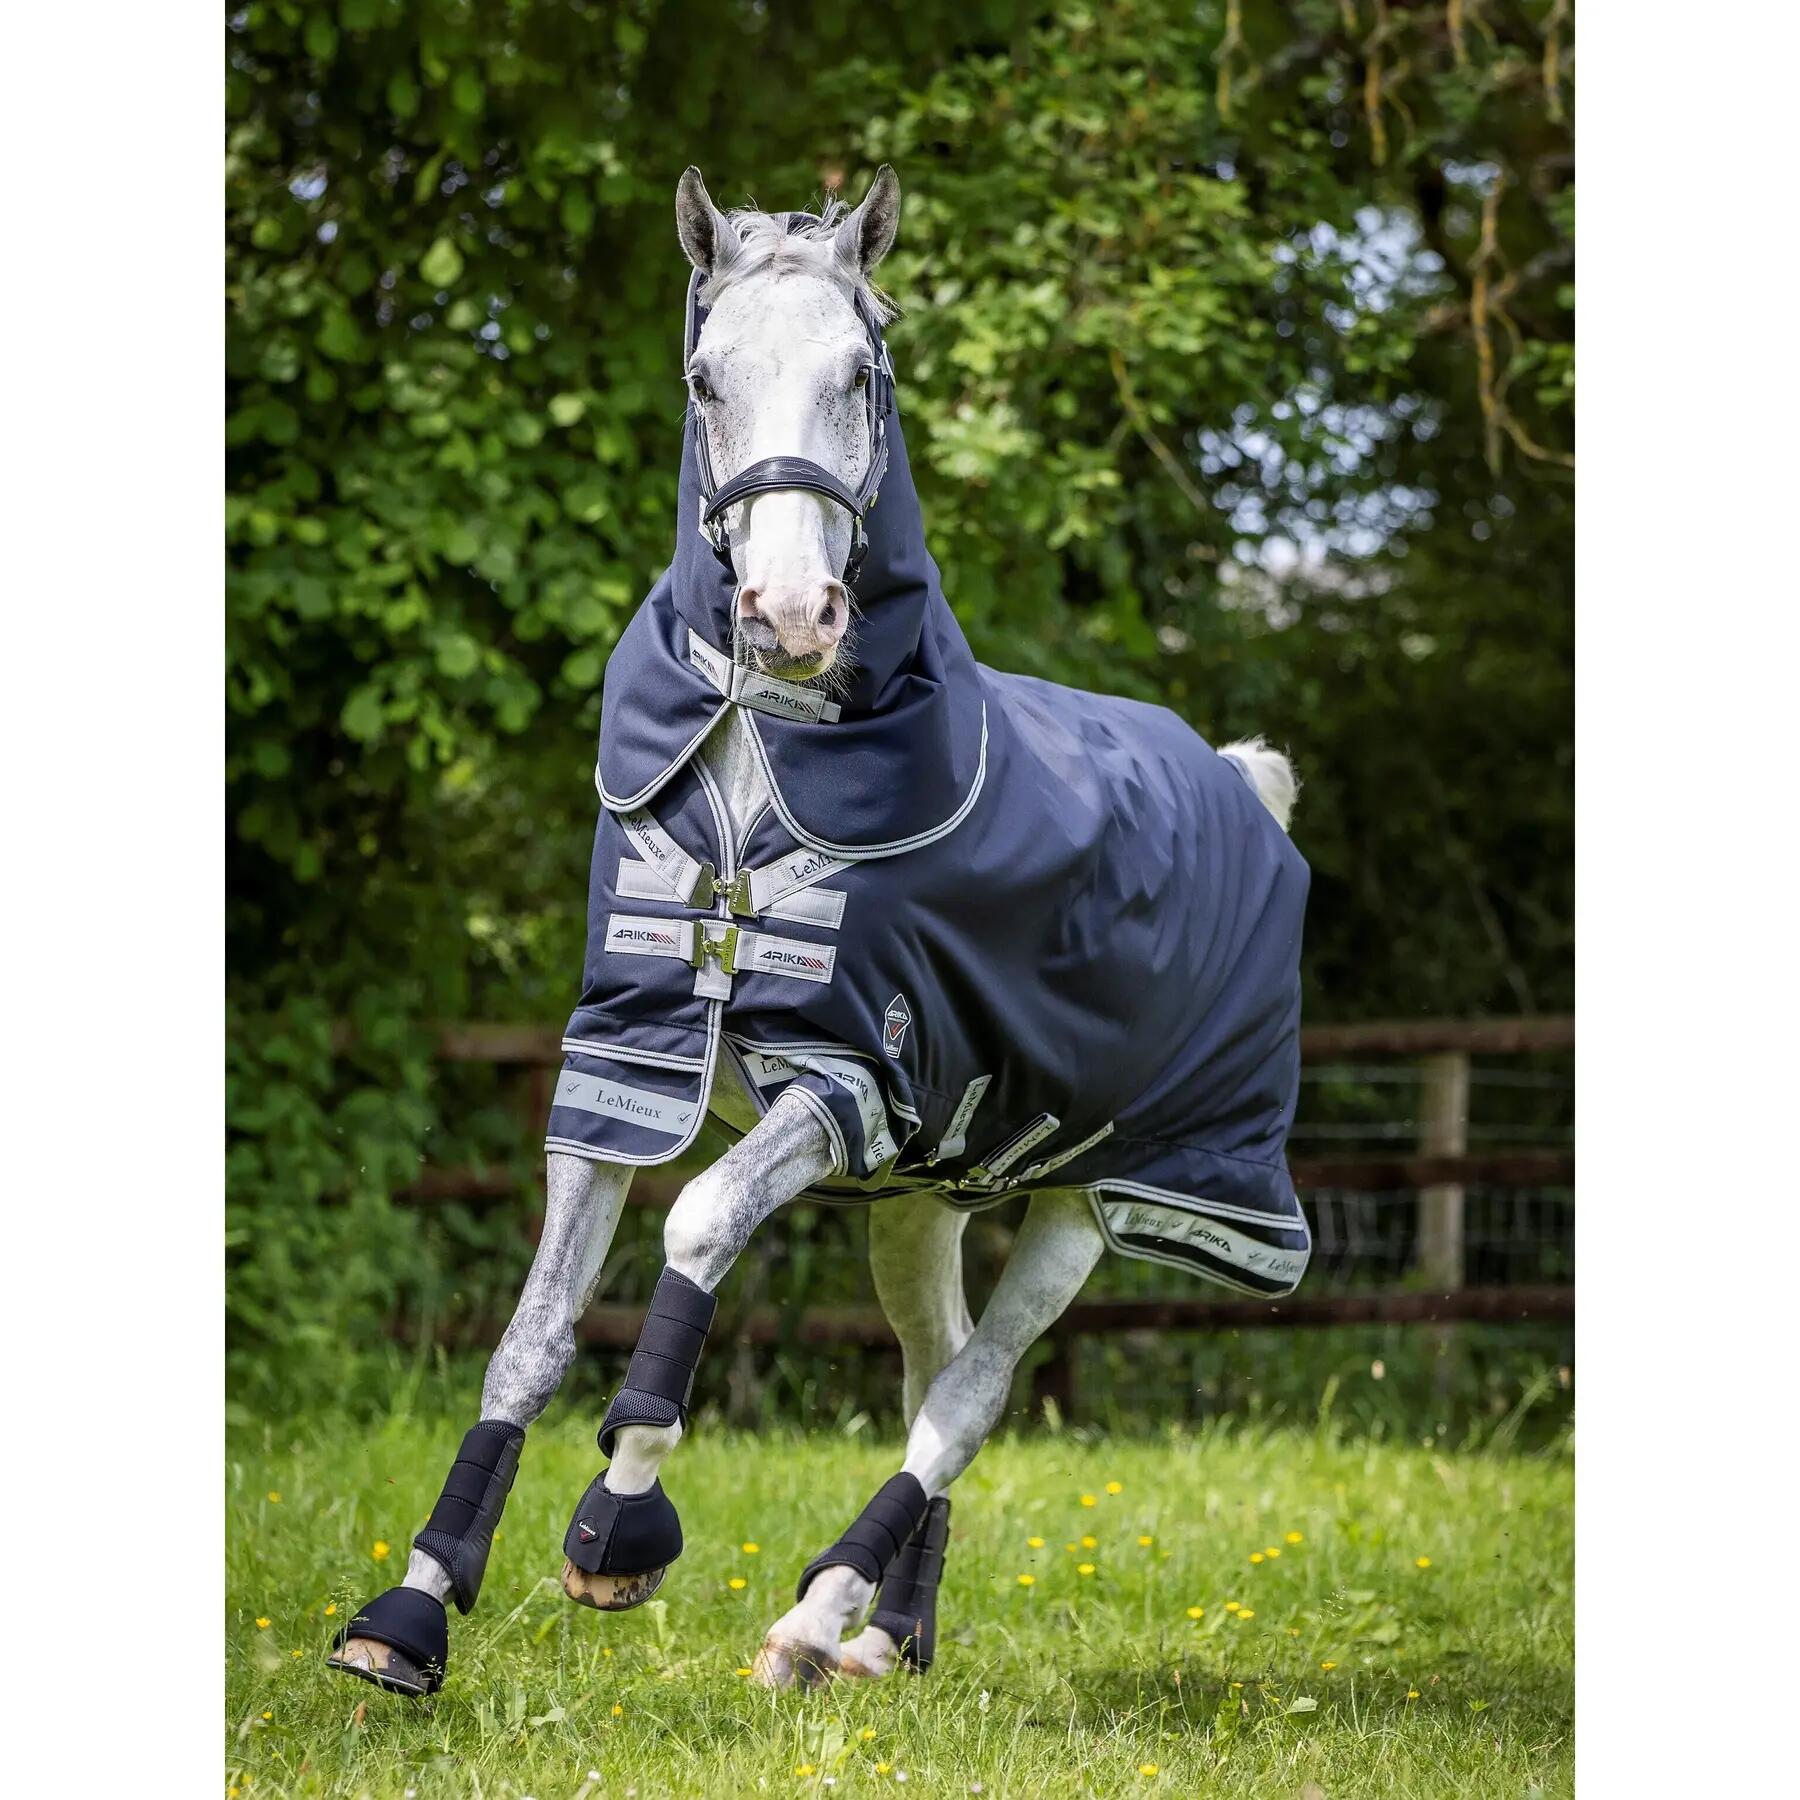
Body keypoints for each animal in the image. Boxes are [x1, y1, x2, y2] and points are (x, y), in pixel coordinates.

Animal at [329, 165, 1310, 1697]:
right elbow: (530, 1336)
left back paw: (812, 1621)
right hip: (923, 1197)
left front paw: (617, 1528)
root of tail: (1239, 779)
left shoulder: (843, 1080)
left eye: (864, 370)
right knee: (930, 1367)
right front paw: (412, 1611)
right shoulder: (625, 1068)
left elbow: (698, 1225)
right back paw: (886, 1638)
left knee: (968, 1393)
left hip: (1107, 1193)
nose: (792, 611)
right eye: (705, 377)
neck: (762, 762)